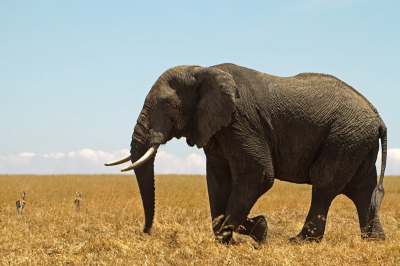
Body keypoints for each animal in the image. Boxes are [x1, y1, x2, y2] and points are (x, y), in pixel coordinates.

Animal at [104, 63, 386, 244]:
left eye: (165, 105)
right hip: (356, 140)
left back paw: (300, 241)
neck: (203, 69)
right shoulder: (216, 129)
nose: (146, 232)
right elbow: (218, 181)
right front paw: (255, 231)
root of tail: (378, 119)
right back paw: (375, 241)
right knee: (363, 190)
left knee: (325, 184)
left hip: (344, 138)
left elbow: (258, 175)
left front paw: (237, 236)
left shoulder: (241, 121)